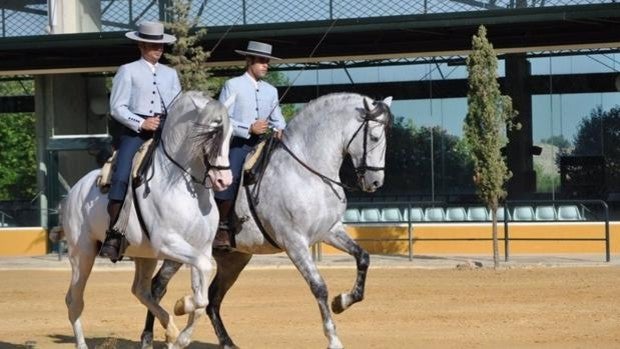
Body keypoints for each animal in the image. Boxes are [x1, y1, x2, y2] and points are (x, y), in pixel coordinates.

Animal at [59, 91, 234, 346]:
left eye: (231, 134)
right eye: (209, 134)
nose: (224, 180)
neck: (184, 185)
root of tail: (74, 191)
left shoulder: (201, 247)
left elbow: (202, 298)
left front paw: (181, 334)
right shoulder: (169, 243)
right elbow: (201, 285)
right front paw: (182, 305)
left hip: (145, 255)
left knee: (141, 290)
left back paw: (171, 330)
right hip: (83, 254)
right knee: (74, 299)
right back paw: (82, 344)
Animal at [140, 92, 392, 348]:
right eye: (374, 137)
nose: (375, 183)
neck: (306, 171)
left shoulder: (329, 231)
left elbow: (363, 257)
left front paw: (342, 301)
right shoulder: (294, 242)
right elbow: (319, 286)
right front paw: (333, 338)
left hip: (234, 259)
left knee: (213, 298)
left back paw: (226, 341)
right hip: (181, 249)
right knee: (157, 287)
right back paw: (151, 337)